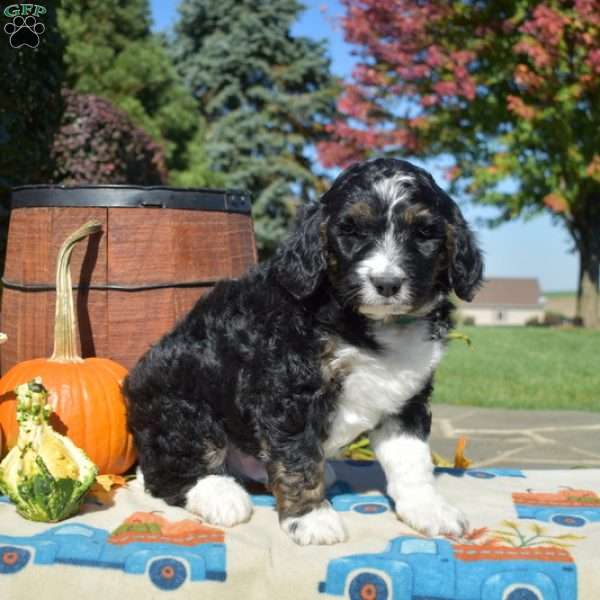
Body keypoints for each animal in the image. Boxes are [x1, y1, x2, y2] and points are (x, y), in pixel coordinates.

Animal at [125, 159, 482, 548]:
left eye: (424, 233)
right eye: (350, 231)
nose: (387, 284)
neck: (370, 324)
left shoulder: (407, 398)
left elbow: (411, 458)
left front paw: (428, 508)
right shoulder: (289, 391)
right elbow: (298, 457)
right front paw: (312, 518)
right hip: (182, 406)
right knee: (165, 474)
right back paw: (221, 494)